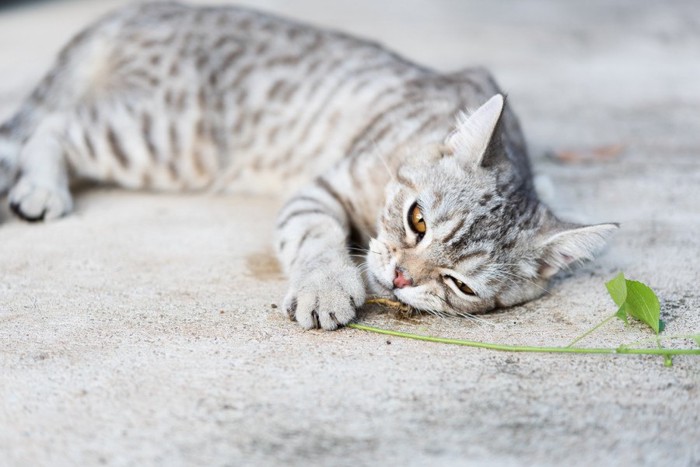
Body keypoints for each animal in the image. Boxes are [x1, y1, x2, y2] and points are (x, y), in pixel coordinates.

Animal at [0, 0, 616, 330]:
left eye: (459, 284)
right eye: (417, 220)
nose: (399, 277)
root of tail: (128, 12)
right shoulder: (321, 186)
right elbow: (316, 238)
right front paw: (326, 285)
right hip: (163, 137)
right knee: (51, 125)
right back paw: (43, 189)